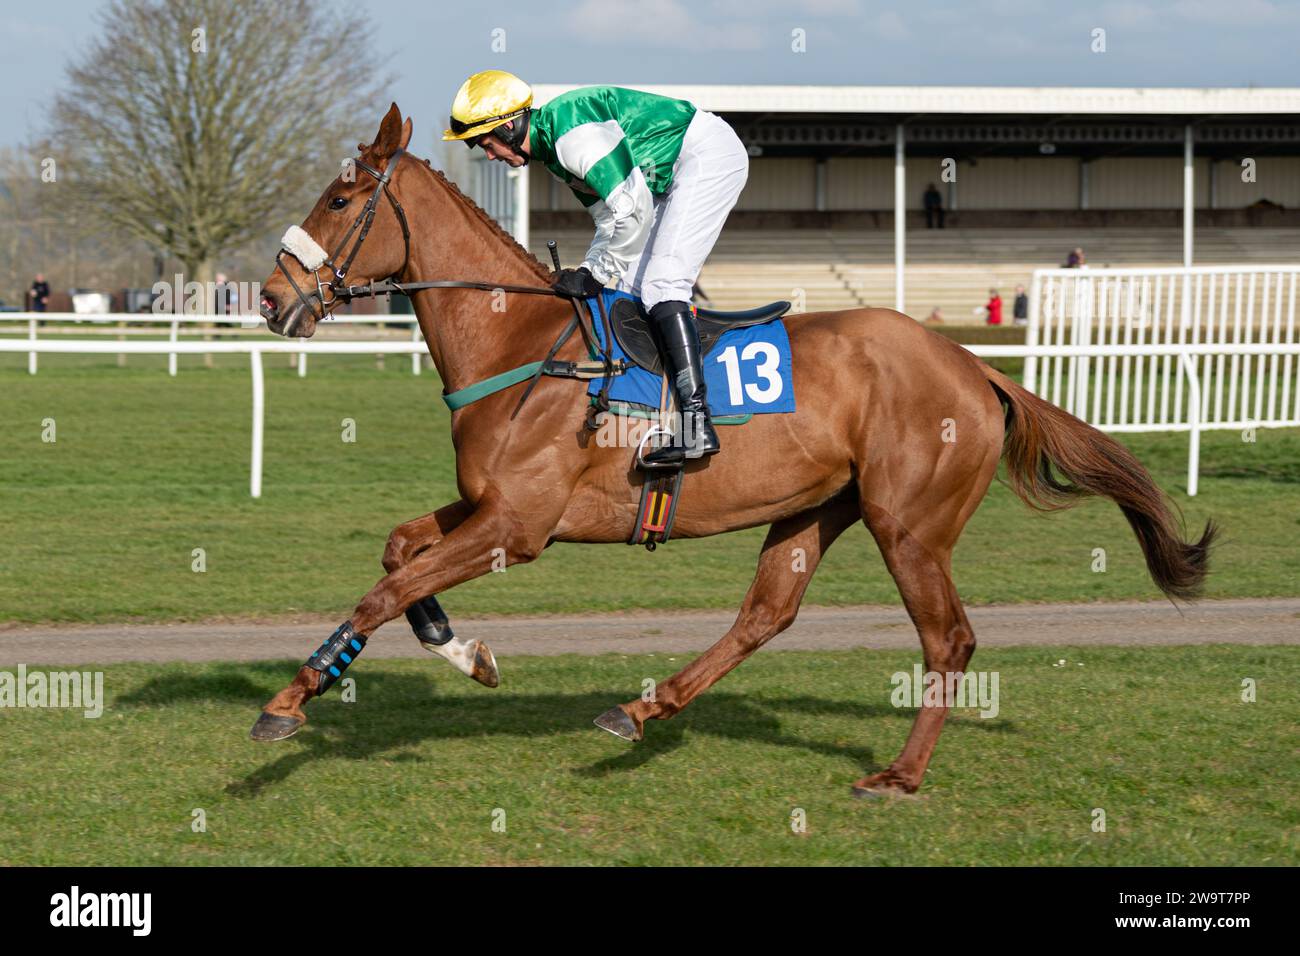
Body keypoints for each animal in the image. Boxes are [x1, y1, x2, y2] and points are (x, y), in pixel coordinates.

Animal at [256, 104, 1216, 796]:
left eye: (338, 201)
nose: (269, 300)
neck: (521, 343)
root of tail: (976, 369)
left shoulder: (518, 527)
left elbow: (384, 590)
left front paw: (290, 700)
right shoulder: (492, 508)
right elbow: (399, 553)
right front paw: (463, 651)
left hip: (908, 524)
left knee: (949, 638)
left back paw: (899, 775)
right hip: (814, 509)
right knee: (766, 614)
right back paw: (643, 710)